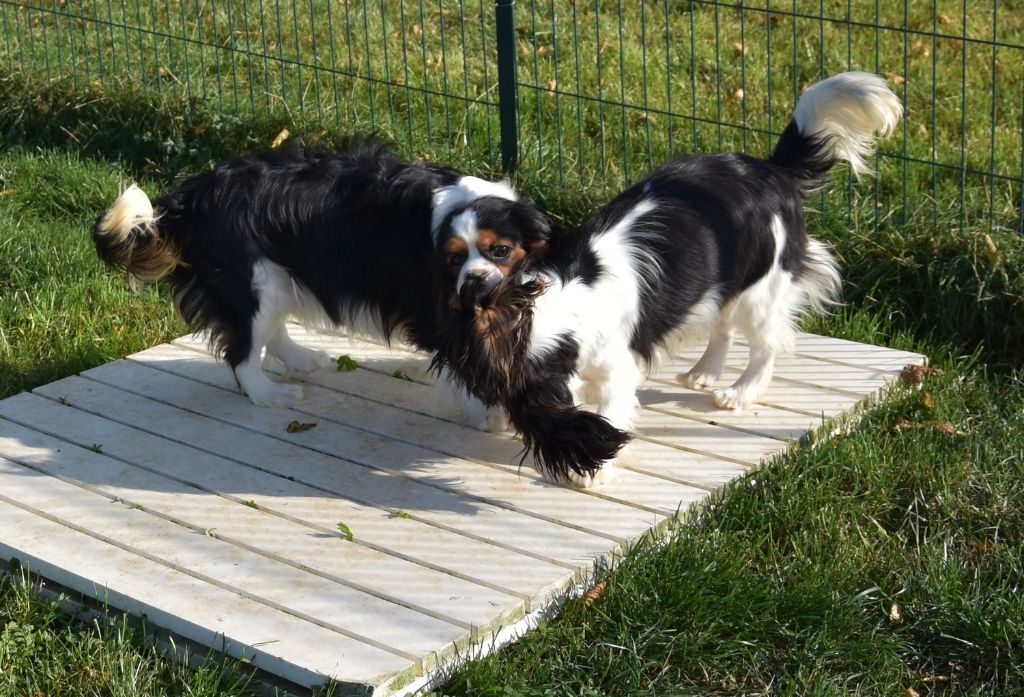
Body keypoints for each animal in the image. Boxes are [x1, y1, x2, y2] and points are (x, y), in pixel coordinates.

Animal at [93, 139, 524, 414]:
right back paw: (269, 395)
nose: (479, 282)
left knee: (271, 331)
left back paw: (303, 358)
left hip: (273, 281)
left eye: (502, 252)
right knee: (242, 353)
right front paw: (490, 416)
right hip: (251, 283)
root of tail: (186, 199)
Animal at [432, 72, 903, 486]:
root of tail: (772, 171)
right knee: (722, 327)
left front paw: (594, 473)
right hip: (718, 285)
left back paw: (739, 392)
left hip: (761, 289)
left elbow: (610, 410)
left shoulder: (615, 370)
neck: (555, 308)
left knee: (766, 343)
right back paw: (703, 374)